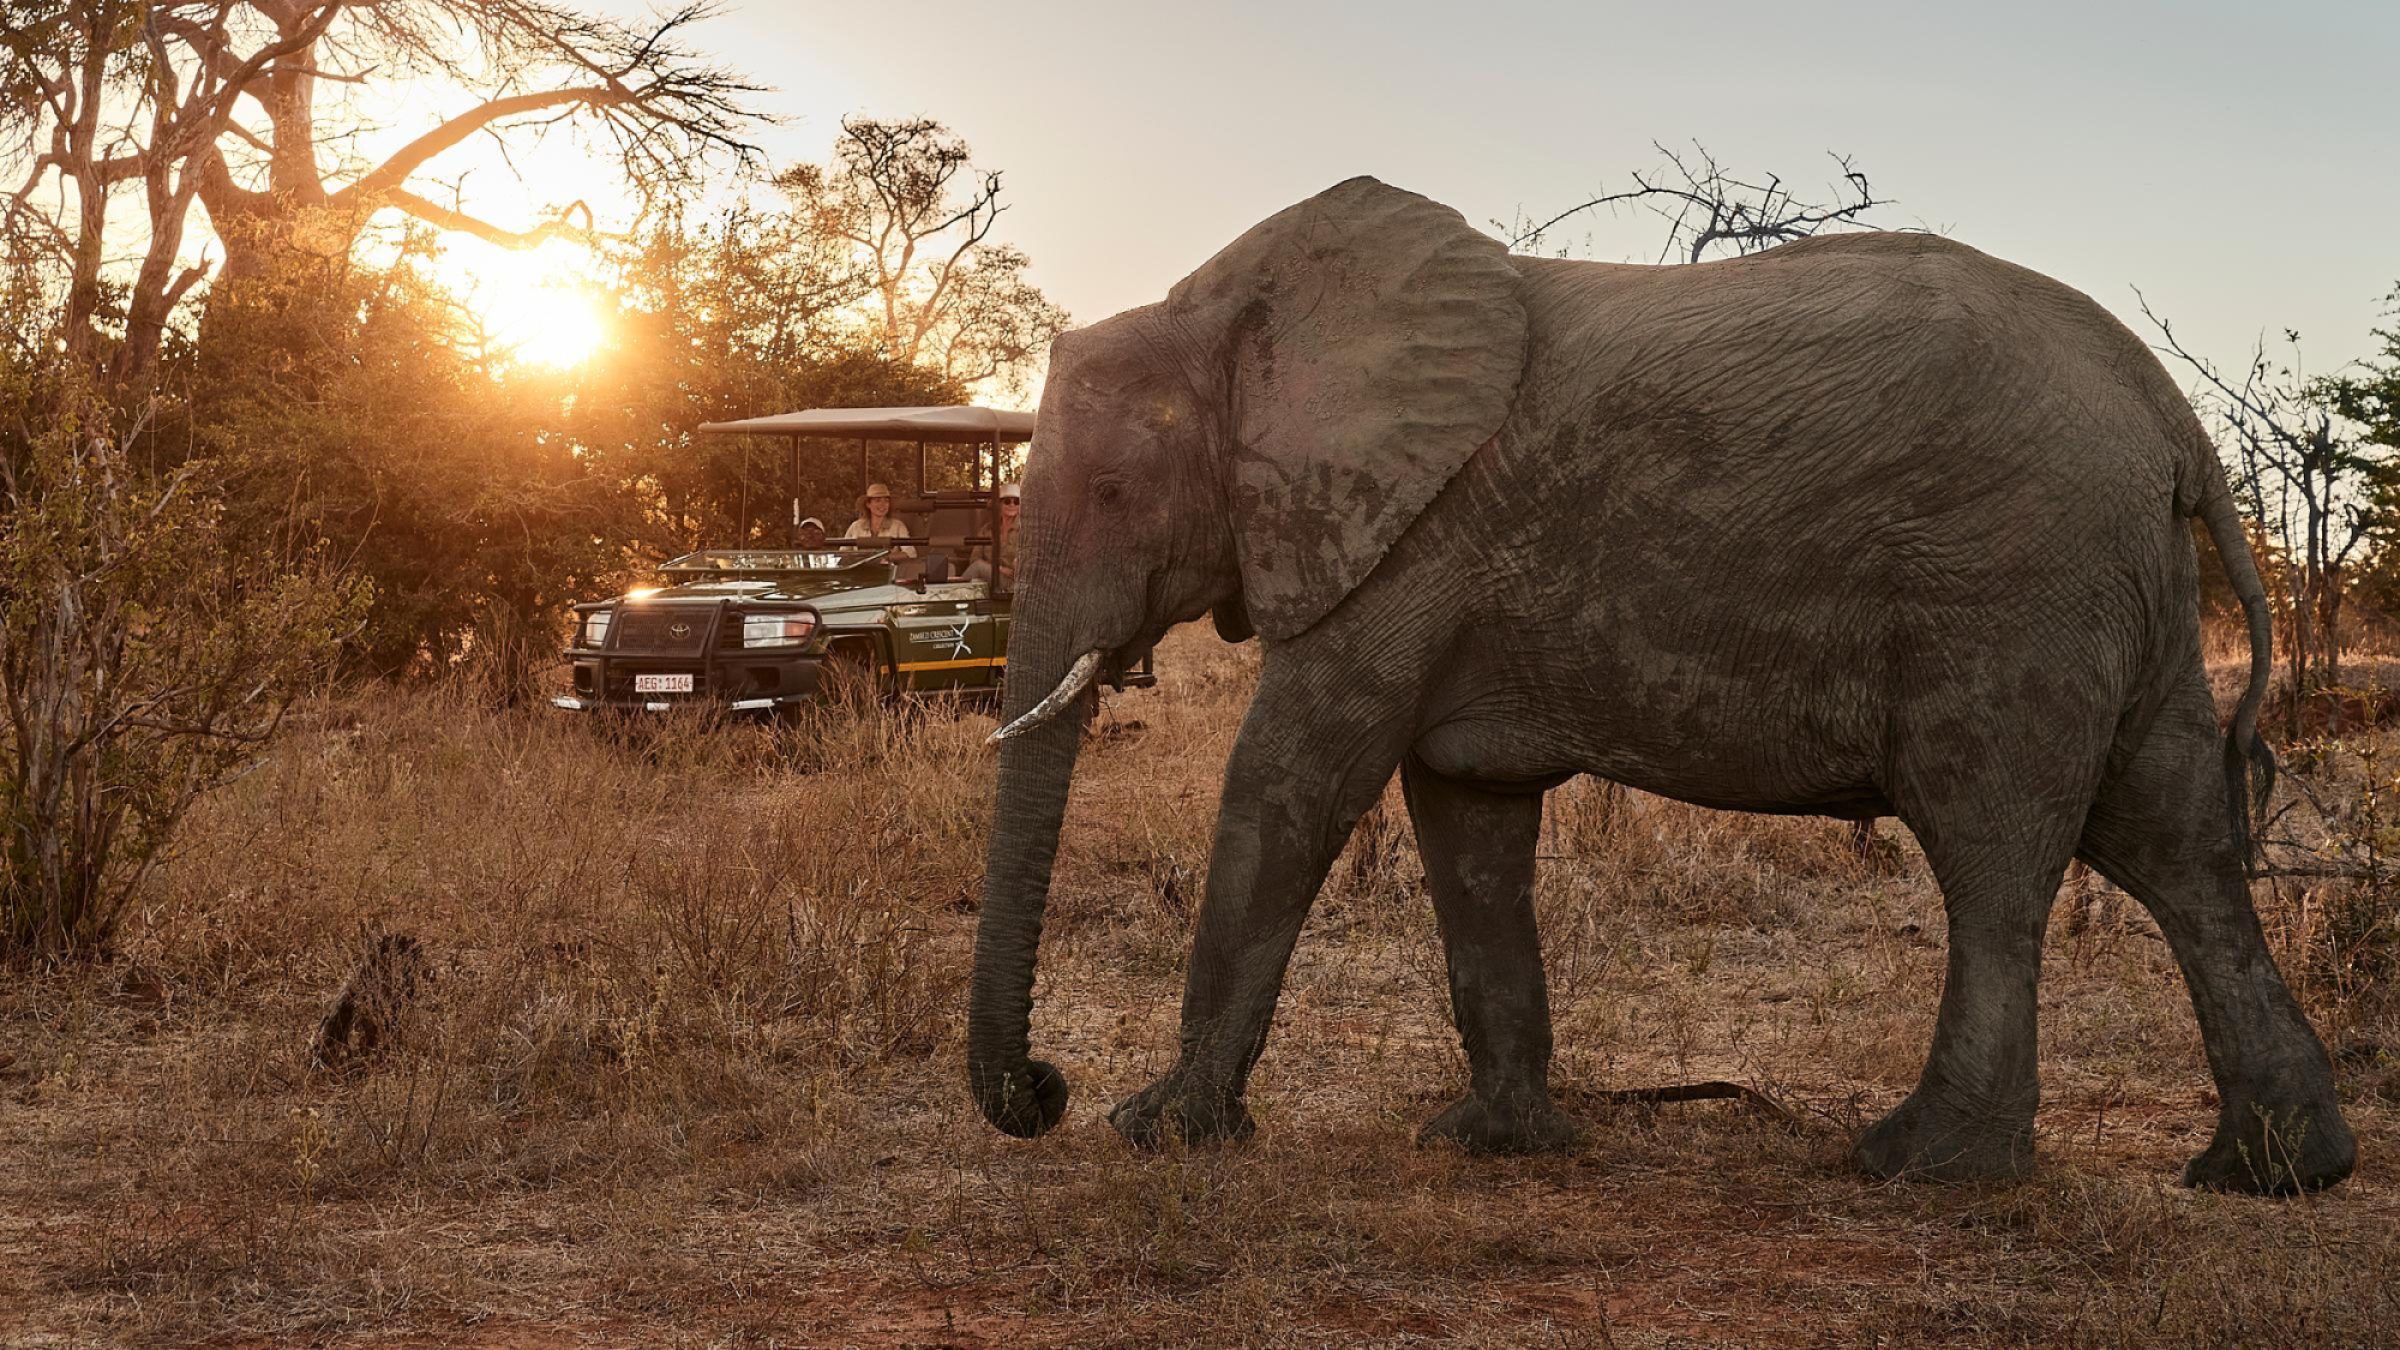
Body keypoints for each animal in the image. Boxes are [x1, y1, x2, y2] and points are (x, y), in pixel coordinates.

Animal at [964, 176, 2357, 1194]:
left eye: (1111, 492)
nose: (1043, 1091)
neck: (1231, 313)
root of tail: (2173, 419)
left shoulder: (1411, 545)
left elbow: (1291, 785)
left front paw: (1157, 1132)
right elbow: (1468, 822)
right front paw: (1492, 1144)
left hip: (2015, 585)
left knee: (1993, 849)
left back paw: (1922, 1169)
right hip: (2121, 592)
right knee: (2174, 844)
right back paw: (2275, 1173)